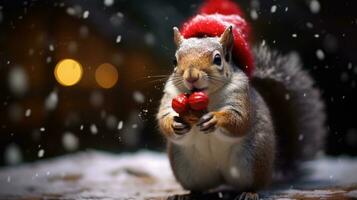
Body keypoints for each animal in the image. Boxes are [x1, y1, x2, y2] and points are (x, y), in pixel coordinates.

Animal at [154, 0, 324, 195]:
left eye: (218, 59)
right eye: (174, 61)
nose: (191, 76)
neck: (207, 96)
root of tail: (222, 177)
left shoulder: (240, 94)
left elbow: (240, 119)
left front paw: (215, 119)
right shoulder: (171, 96)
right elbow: (164, 117)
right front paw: (175, 124)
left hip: (253, 160)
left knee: (254, 184)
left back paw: (249, 193)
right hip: (187, 168)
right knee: (198, 187)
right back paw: (188, 195)